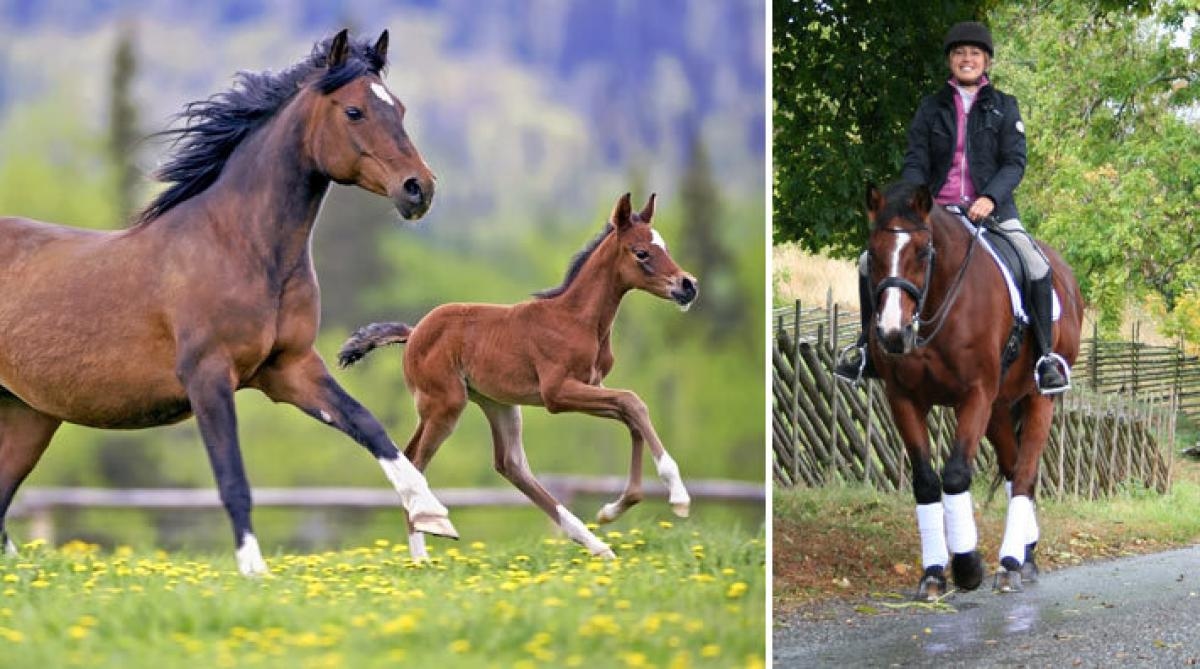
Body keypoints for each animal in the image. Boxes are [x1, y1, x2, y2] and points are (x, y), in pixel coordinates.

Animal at [0, 30, 456, 577]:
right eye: (354, 112)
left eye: (400, 109)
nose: (419, 189)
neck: (241, 249)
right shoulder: (208, 376)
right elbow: (232, 477)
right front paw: (254, 570)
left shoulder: (289, 368)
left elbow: (368, 425)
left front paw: (432, 515)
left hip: (28, 415)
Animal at [338, 194, 700, 561]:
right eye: (641, 252)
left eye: (665, 246)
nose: (688, 285)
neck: (577, 320)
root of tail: (412, 334)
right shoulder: (557, 393)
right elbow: (633, 402)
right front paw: (678, 496)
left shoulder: (590, 387)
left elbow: (631, 415)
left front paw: (612, 510)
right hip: (445, 404)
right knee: (415, 460)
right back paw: (422, 554)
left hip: (498, 403)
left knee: (510, 464)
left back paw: (595, 544)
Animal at [868, 182, 1084, 597]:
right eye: (872, 253)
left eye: (923, 252)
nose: (892, 333)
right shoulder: (903, 398)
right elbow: (925, 482)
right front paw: (934, 572)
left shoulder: (976, 395)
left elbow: (955, 475)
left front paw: (967, 566)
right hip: (1000, 408)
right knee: (1013, 468)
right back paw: (1025, 554)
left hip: (1037, 399)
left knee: (1026, 473)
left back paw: (1011, 562)